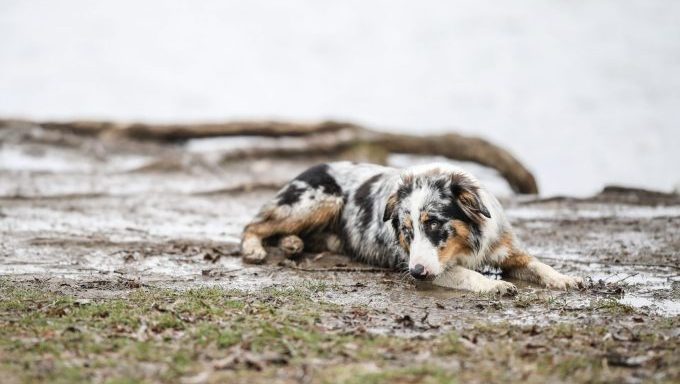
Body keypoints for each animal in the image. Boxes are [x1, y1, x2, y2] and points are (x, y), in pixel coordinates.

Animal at [242, 160, 580, 292]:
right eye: (406, 231)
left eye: (433, 223)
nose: (416, 273)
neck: (467, 244)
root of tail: (314, 165)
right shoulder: (426, 265)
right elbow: (465, 273)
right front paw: (493, 285)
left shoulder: (504, 248)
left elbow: (537, 263)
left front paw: (565, 278)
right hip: (319, 201)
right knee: (254, 225)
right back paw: (254, 249)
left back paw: (292, 244)